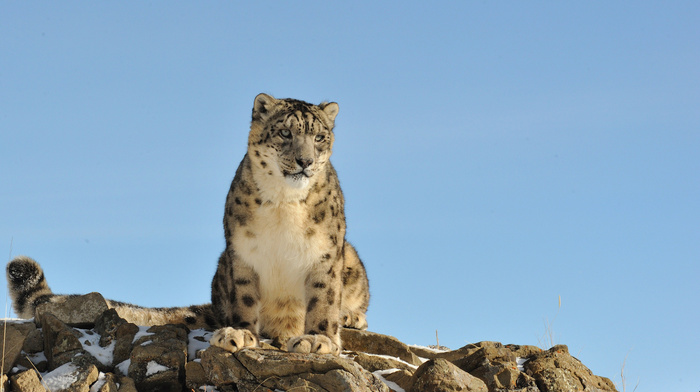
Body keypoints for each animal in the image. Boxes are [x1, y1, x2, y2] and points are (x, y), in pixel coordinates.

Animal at [4, 93, 372, 356]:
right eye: (285, 132)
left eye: (320, 137)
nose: (305, 161)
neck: (284, 202)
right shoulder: (242, 253)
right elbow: (245, 299)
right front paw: (240, 333)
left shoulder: (326, 253)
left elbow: (323, 300)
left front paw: (318, 340)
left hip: (350, 258)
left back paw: (350, 317)